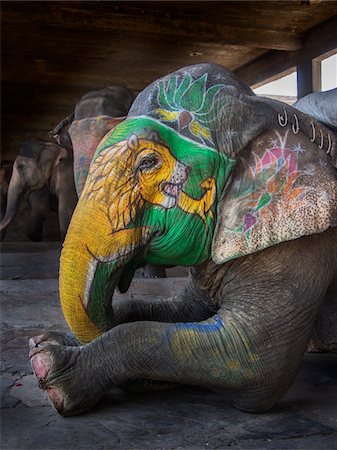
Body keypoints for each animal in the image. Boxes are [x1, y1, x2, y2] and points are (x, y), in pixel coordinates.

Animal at [30, 65, 334, 416]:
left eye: (147, 162)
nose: (40, 342)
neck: (263, 111)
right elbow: (179, 310)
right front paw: (48, 341)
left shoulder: (303, 233)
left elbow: (251, 354)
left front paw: (50, 367)